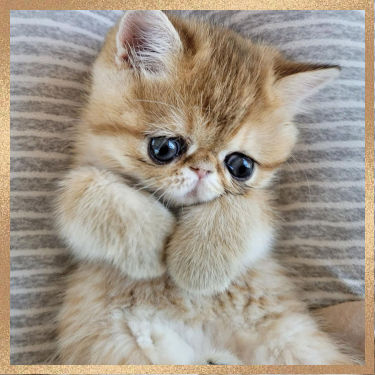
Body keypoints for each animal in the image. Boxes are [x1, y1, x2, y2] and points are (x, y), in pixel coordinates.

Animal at [53, 11, 356, 364]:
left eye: (241, 166)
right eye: (164, 148)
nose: (202, 170)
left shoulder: (257, 200)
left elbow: (243, 205)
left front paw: (198, 264)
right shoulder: (81, 179)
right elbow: (83, 187)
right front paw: (149, 246)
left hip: (296, 345)